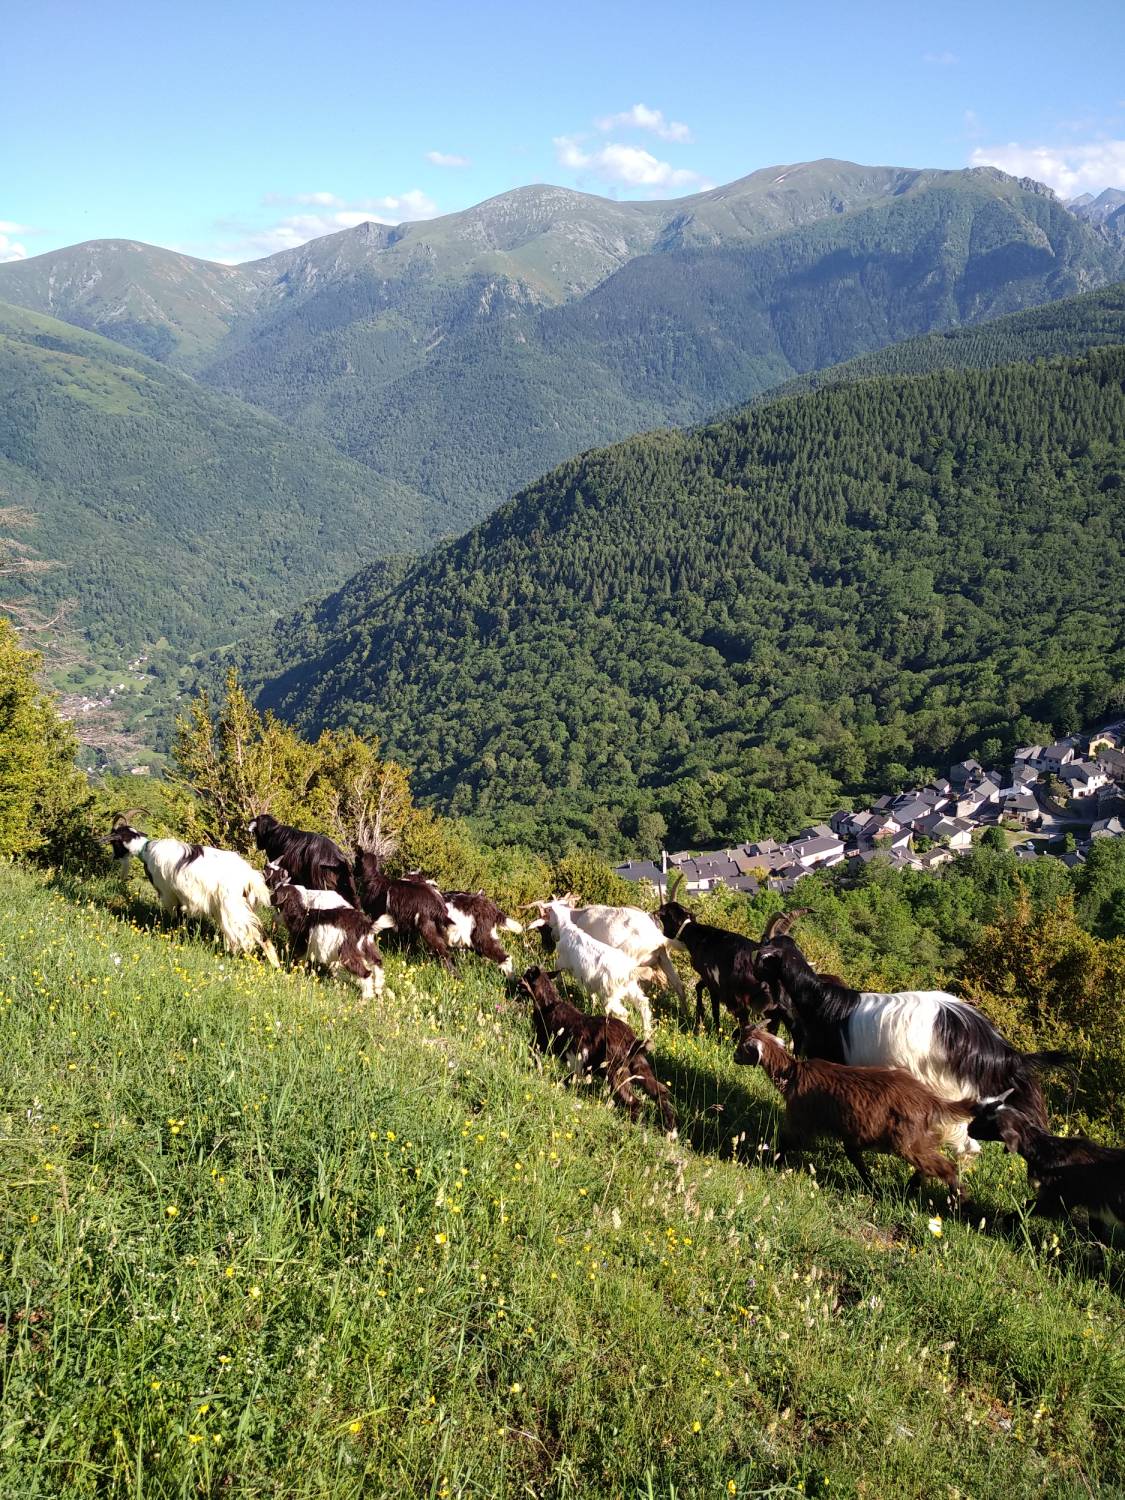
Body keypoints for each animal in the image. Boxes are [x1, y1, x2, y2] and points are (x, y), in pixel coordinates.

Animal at [104, 816, 280, 966]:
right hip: (243, 906)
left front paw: (174, 940)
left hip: (232, 908)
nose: (113, 857)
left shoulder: (168, 894)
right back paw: (276, 966)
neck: (146, 850)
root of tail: (250, 877)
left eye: (115, 841)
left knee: (251, 935)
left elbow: (176, 920)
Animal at [519, 966, 678, 1128]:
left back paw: (634, 1124)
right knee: (660, 1092)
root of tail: (632, 1040)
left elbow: (534, 1055)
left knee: (633, 1101)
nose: (518, 984)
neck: (548, 1004)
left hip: (615, 1072)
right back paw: (670, 1130)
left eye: (525, 977)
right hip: (639, 1067)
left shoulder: (541, 1042)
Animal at [735, 1026, 972, 1200]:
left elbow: (784, 1141)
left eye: (742, 1047)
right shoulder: (854, 1132)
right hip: (915, 1138)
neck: (792, 1074)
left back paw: (957, 1199)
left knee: (947, 1166)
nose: (734, 1056)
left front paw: (772, 1164)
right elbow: (854, 1157)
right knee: (931, 1162)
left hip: (905, 1141)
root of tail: (930, 1099)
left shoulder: (801, 1120)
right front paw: (871, 1184)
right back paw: (913, 1187)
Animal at [972, 1098, 1125, 1236]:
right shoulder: (1094, 1207)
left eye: (987, 1121)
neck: (1047, 1149)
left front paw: (1002, 1222)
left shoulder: (1057, 1198)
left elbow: (1027, 1206)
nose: (969, 1128)